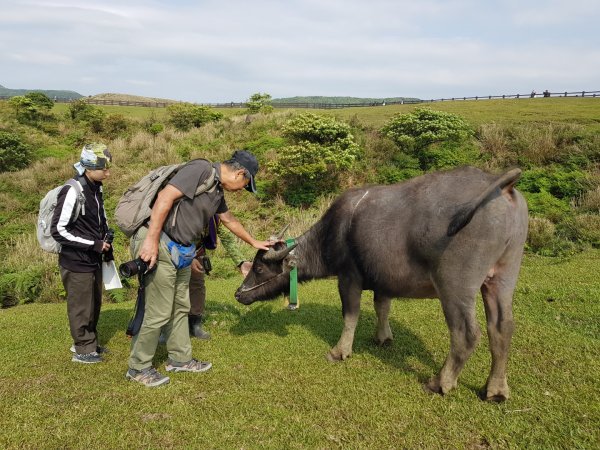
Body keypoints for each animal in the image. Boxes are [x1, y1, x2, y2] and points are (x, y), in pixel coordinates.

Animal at [237, 166, 528, 400]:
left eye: (260, 268)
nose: (239, 294)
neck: (334, 232)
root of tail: (499, 185)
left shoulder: (348, 277)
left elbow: (350, 315)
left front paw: (340, 351)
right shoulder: (383, 280)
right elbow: (382, 306)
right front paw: (383, 337)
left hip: (455, 286)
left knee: (466, 334)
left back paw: (440, 382)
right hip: (503, 277)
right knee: (502, 327)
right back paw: (496, 389)